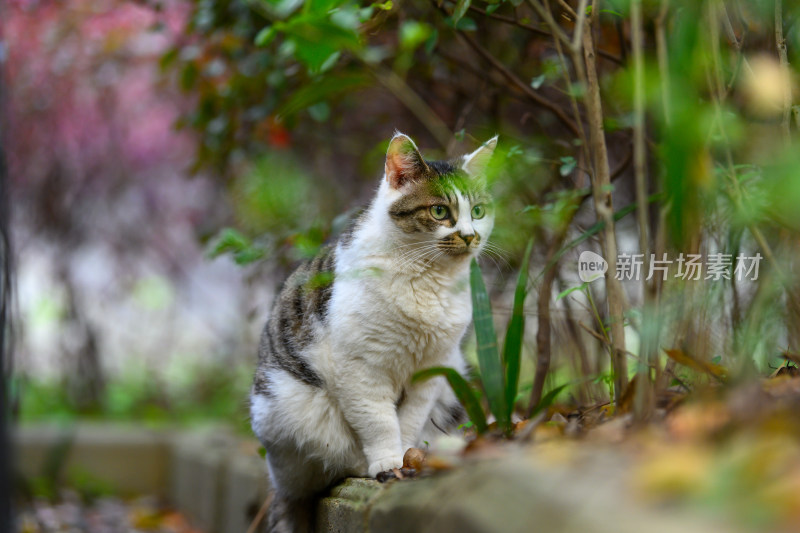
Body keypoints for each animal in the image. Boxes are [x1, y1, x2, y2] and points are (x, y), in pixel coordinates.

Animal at [253, 133, 496, 532]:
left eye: (477, 211)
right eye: (439, 211)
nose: (469, 236)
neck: (428, 280)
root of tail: (279, 487)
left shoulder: (434, 366)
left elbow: (409, 419)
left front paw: (410, 458)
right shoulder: (361, 368)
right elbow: (379, 422)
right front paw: (389, 463)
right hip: (289, 410)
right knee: (331, 464)